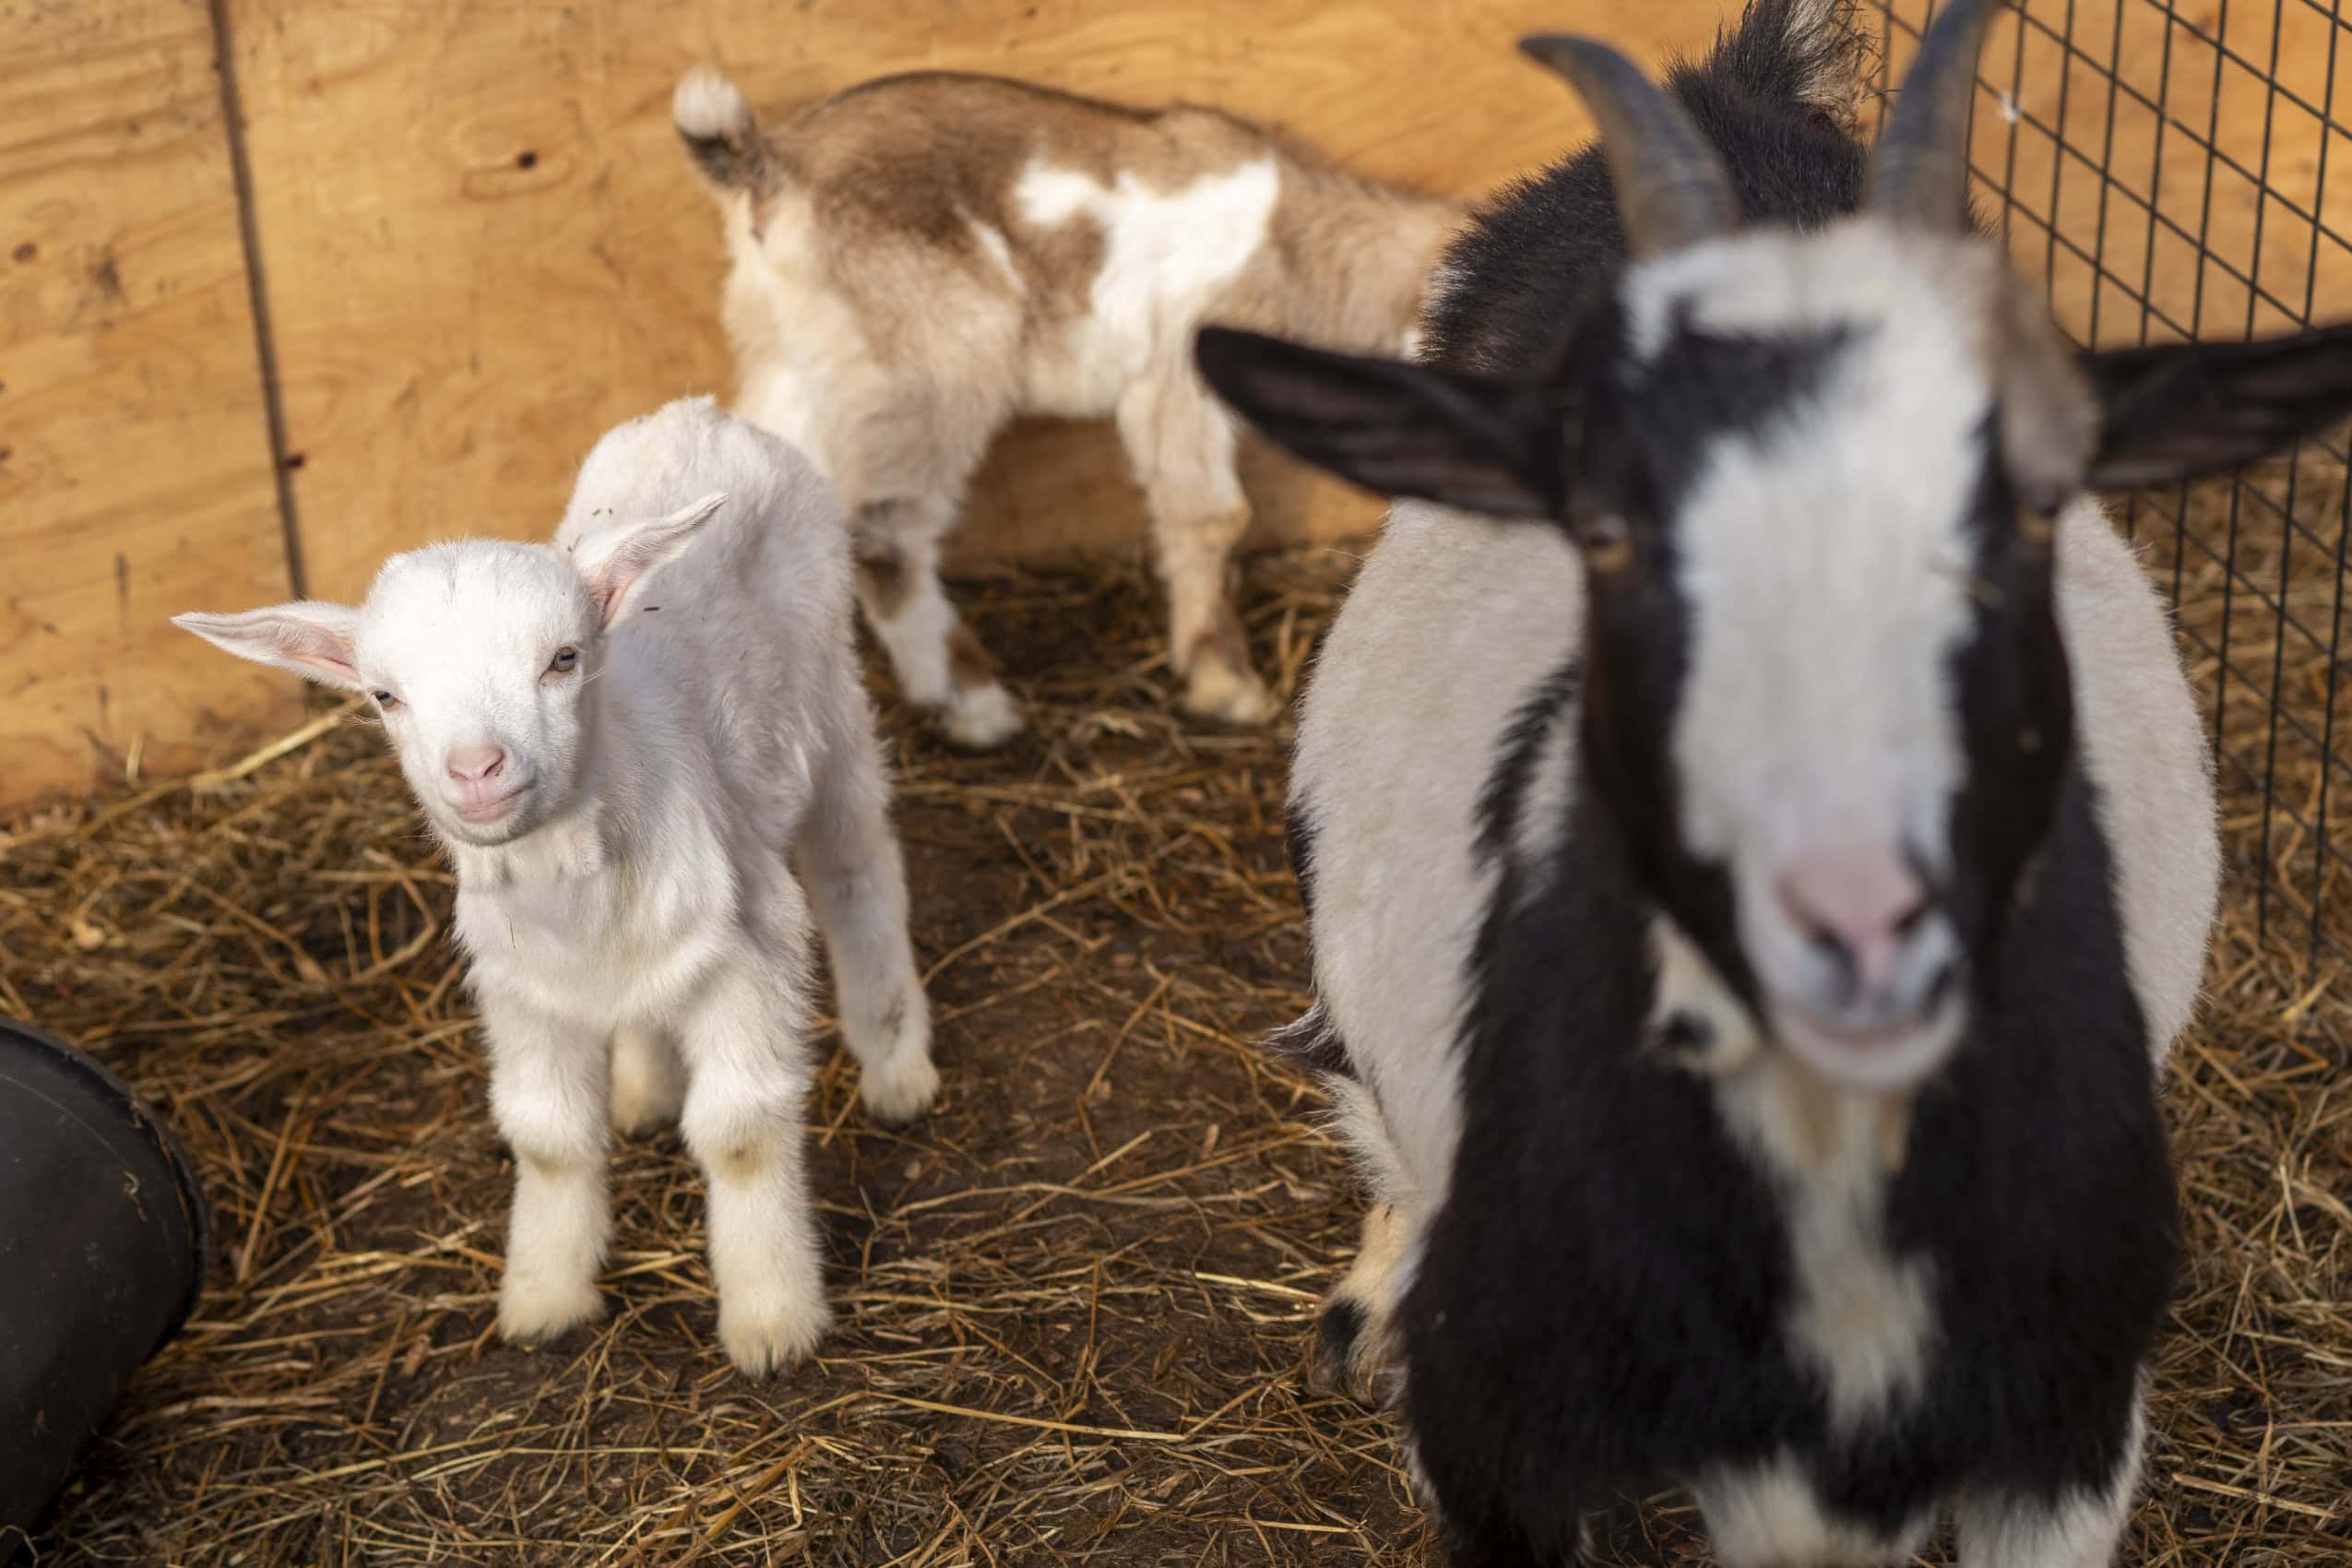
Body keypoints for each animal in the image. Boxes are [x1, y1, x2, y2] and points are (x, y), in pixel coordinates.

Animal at [173, 397, 937, 1376]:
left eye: (563, 659)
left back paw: (896, 1065)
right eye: (385, 697)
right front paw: (543, 1298)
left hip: (830, 692)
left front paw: (772, 1320)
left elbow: (739, 1134)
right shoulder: (521, 994)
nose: (475, 769)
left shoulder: (750, 953)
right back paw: (645, 1090)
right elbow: (546, 1140)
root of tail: (706, 413)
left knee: (857, 860)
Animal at [671, 65, 1463, 747]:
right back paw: (973, 704)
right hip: (935, 352)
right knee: (884, 528)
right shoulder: (1178, 364)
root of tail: (770, 164)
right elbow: (1212, 515)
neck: (1292, 239)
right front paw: (1224, 683)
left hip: (790, 357)